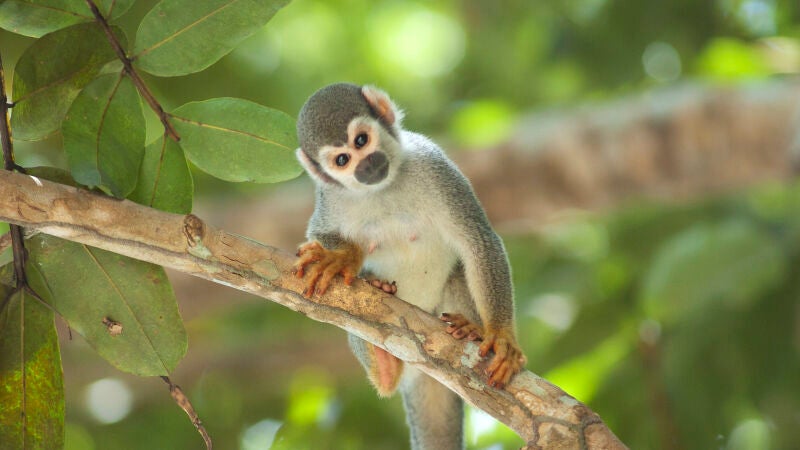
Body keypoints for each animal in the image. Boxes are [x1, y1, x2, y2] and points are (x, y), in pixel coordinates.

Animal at [293, 83, 526, 450]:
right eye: (342, 160)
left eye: (361, 141)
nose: (366, 165)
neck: (384, 189)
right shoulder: (329, 196)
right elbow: (318, 235)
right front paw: (345, 257)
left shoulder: (433, 164)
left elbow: (478, 241)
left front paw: (501, 337)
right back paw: (384, 360)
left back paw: (471, 328)